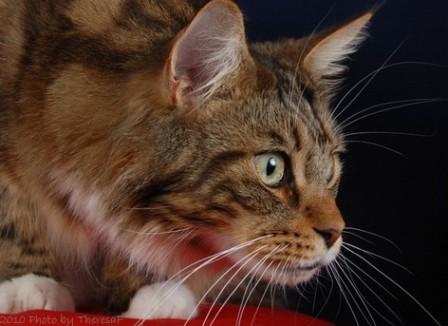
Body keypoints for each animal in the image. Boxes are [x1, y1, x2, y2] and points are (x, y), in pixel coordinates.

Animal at [0, 0, 372, 320]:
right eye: (272, 168)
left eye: (332, 168)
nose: (335, 233)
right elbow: (13, 209)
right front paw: (27, 283)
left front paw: (147, 287)